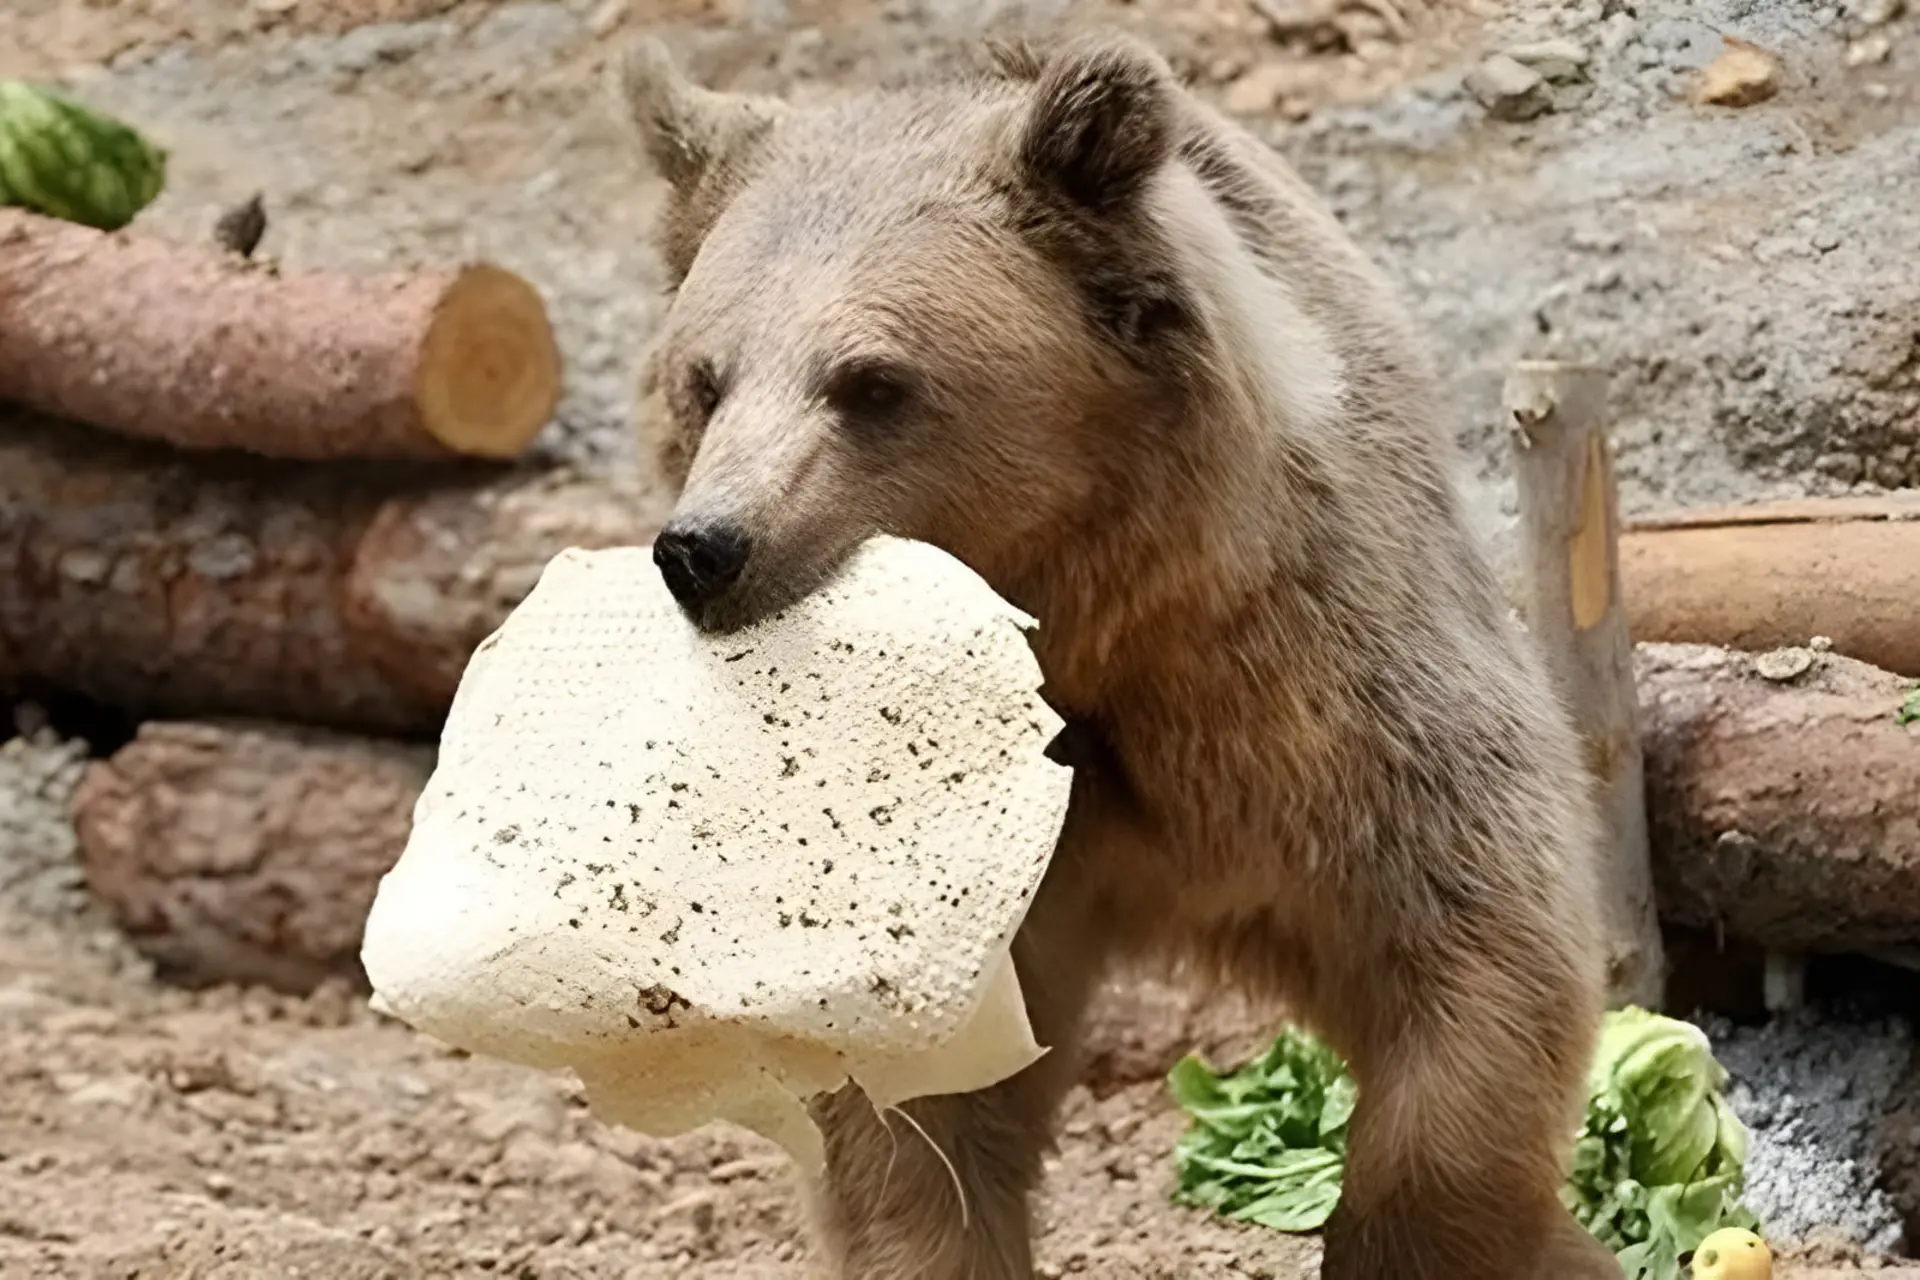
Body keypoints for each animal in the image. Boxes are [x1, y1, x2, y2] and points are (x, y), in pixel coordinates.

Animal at [616, 28, 1622, 1280]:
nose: (707, 547)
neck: (1073, 619)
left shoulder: (1309, 682)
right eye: (704, 377)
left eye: (872, 380)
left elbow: (1474, 929)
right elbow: (908, 1089)